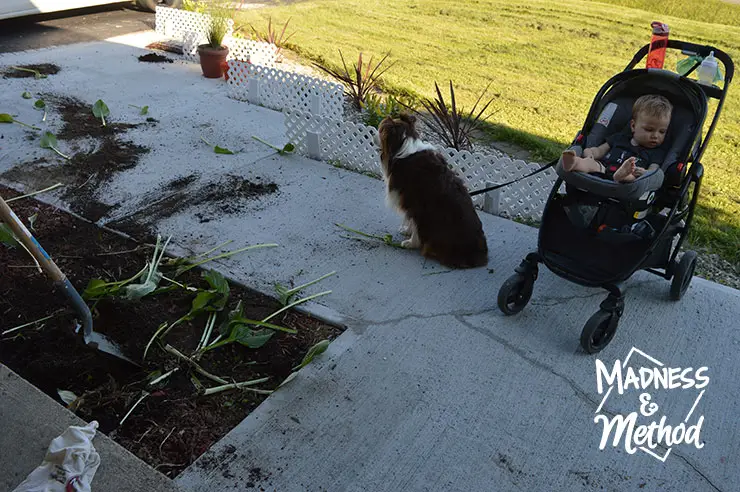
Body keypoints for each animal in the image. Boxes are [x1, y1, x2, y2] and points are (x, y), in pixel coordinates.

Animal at [378, 113, 488, 270]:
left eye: (380, 130)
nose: (374, 135)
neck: (404, 148)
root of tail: (481, 255)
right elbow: (412, 221)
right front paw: (407, 231)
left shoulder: (416, 204)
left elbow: (416, 224)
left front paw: (411, 243)